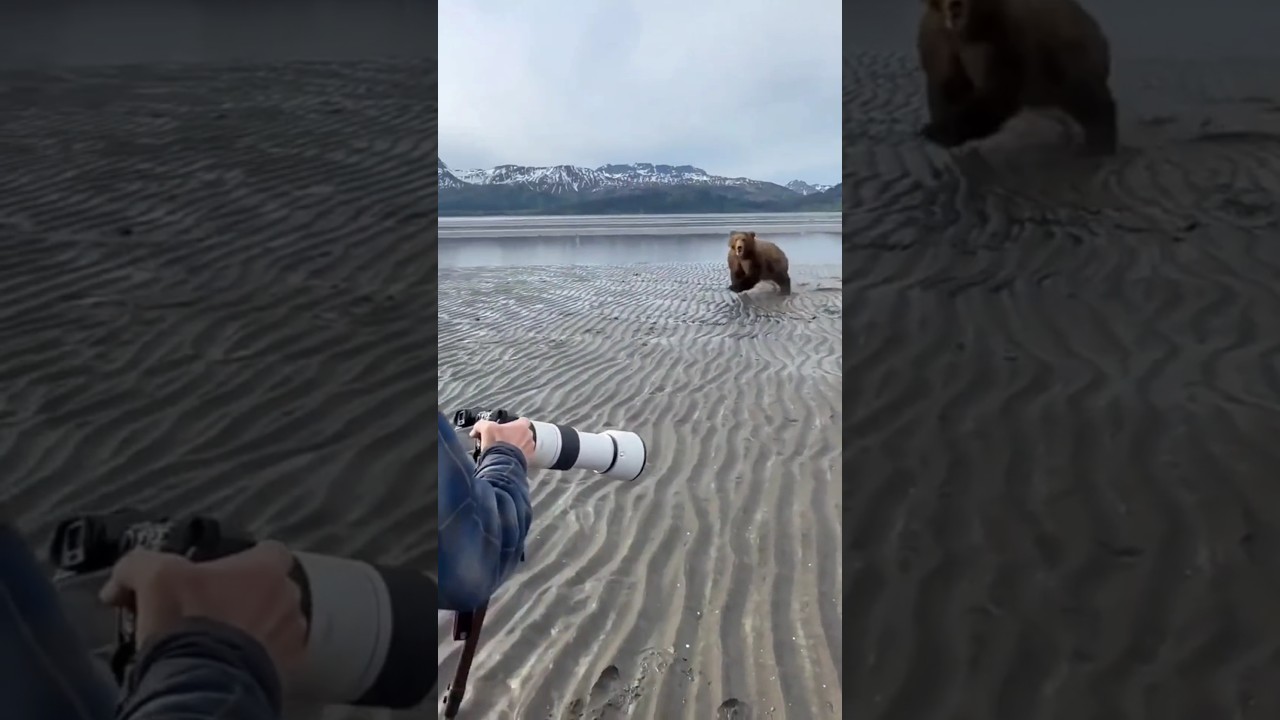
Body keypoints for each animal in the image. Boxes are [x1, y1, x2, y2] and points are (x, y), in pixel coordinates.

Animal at [916, 0, 1117, 155]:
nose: (955, 7)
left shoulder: (1001, 42)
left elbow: (996, 94)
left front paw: (937, 131)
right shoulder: (940, 47)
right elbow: (946, 87)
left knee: (1090, 100)